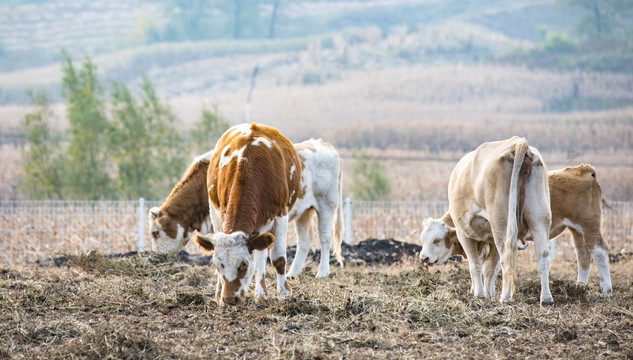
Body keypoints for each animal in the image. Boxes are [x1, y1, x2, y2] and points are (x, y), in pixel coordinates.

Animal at [148, 138, 344, 278]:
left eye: (155, 233)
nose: (156, 258)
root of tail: (324, 145)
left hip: (327, 204)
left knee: (325, 237)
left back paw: (322, 272)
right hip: (304, 211)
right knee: (305, 239)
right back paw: (293, 273)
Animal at [418, 164, 608, 298]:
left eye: (437, 240)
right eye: (422, 240)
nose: (423, 258)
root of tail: (584, 170)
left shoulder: (494, 243)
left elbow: (490, 269)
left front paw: (488, 294)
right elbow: (478, 268)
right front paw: (476, 290)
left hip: (589, 224)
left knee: (599, 251)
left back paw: (606, 289)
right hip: (576, 229)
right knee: (583, 254)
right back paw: (580, 286)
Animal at [420, 137, 552, 304]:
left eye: (437, 240)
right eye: (422, 239)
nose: (423, 258)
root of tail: (517, 143)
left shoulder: (465, 235)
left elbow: (475, 265)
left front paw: (480, 294)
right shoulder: (490, 241)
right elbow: (489, 268)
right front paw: (488, 294)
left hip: (501, 224)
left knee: (507, 256)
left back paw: (505, 297)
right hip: (539, 219)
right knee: (542, 256)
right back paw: (546, 298)